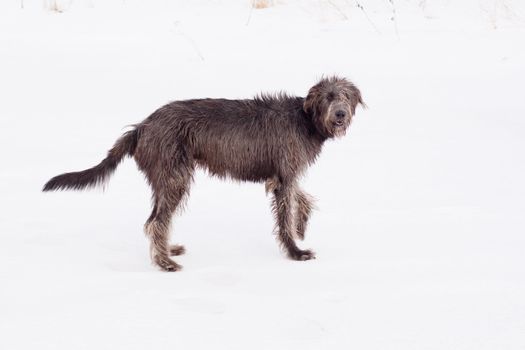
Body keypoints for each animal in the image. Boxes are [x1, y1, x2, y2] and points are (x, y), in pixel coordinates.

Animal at [43, 76, 364, 272]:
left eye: (347, 96)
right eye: (328, 97)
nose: (340, 114)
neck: (305, 119)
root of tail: (142, 126)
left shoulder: (284, 175)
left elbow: (302, 197)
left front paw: (302, 225)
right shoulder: (283, 176)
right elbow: (286, 215)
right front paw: (295, 251)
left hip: (164, 179)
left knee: (153, 221)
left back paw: (166, 251)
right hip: (175, 177)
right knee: (156, 223)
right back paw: (164, 263)